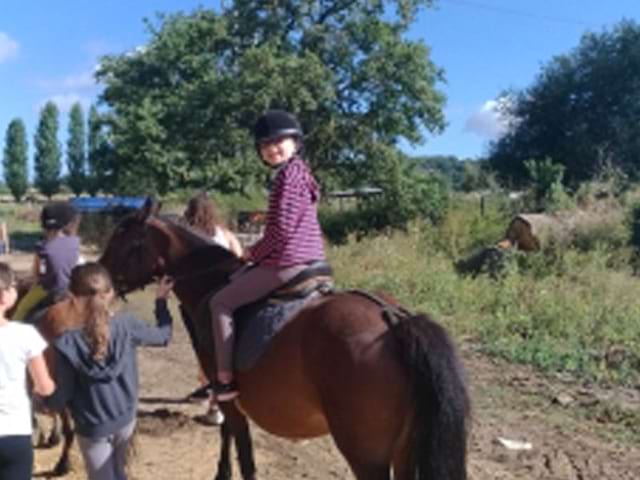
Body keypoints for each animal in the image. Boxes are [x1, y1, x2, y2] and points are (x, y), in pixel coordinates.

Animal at [100, 200, 470, 480]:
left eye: (121, 240)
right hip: (403, 451)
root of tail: (392, 320)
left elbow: (242, 451)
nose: (96, 277)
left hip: (367, 456)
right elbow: (228, 435)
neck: (212, 282)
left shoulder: (229, 398)